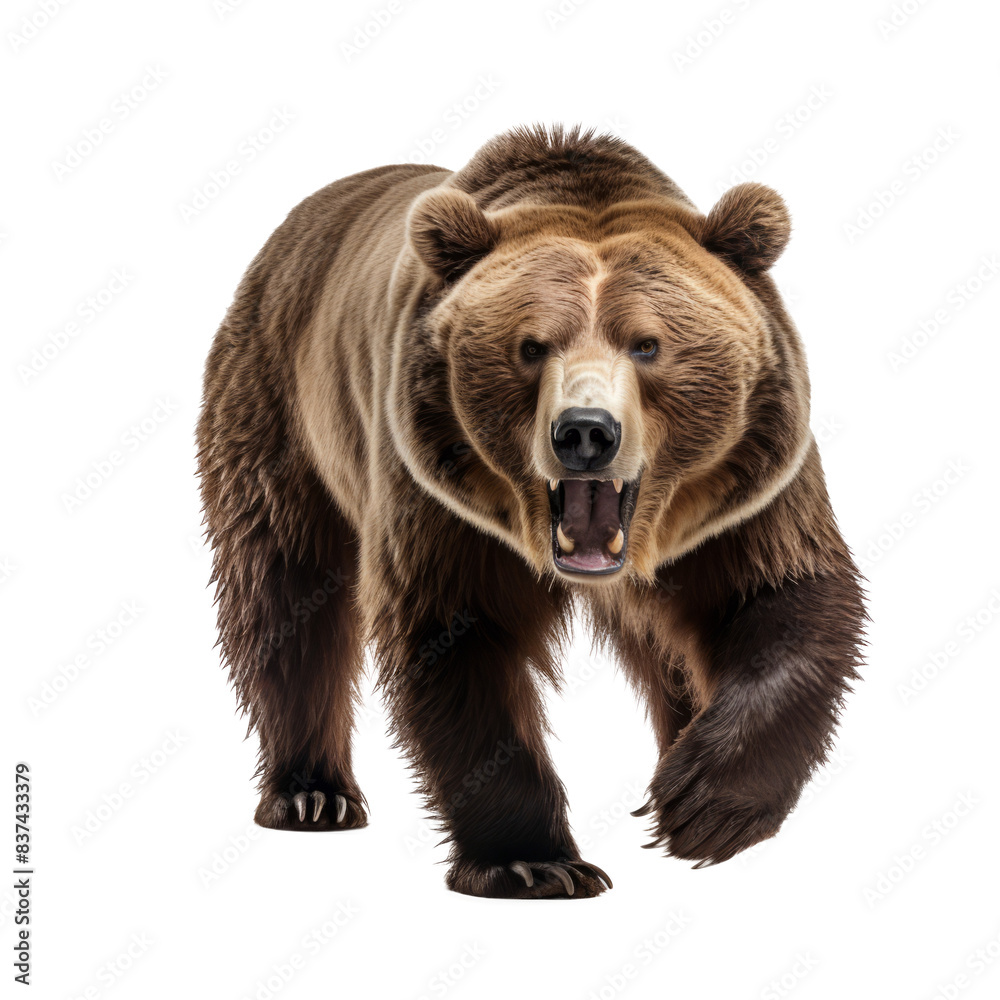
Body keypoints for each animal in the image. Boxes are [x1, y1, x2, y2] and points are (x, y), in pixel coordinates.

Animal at [197, 124, 865, 899]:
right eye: (532, 346)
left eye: (648, 344)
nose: (586, 433)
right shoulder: (437, 497)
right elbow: (460, 638)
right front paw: (534, 860)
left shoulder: (741, 492)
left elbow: (780, 595)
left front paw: (700, 803)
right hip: (280, 409)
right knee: (285, 594)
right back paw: (312, 793)